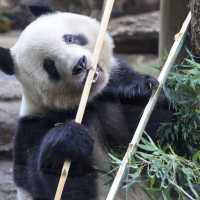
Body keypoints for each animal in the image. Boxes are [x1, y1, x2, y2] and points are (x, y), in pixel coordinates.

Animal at [0, 9, 172, 200]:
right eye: (49, 65)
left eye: (70, 38)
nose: (80, 64)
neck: (88, 102)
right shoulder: (32, 129)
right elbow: (47, 180)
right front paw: (69, 140)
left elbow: (162, 134)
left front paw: (139, 89)